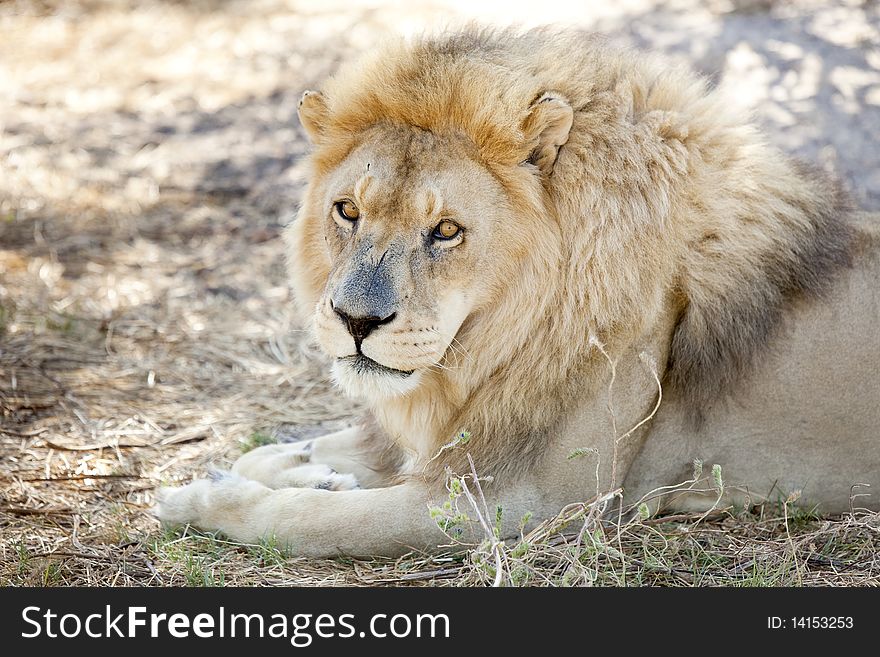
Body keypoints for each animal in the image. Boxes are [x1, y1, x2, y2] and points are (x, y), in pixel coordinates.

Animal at [158, 28, 880, 556]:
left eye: (446, 230)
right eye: (348, 211)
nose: (355, 321)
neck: (492, 344)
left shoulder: (533, 502)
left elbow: (318, 519)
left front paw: (198, 499)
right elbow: (296, 448)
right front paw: (294, 468)